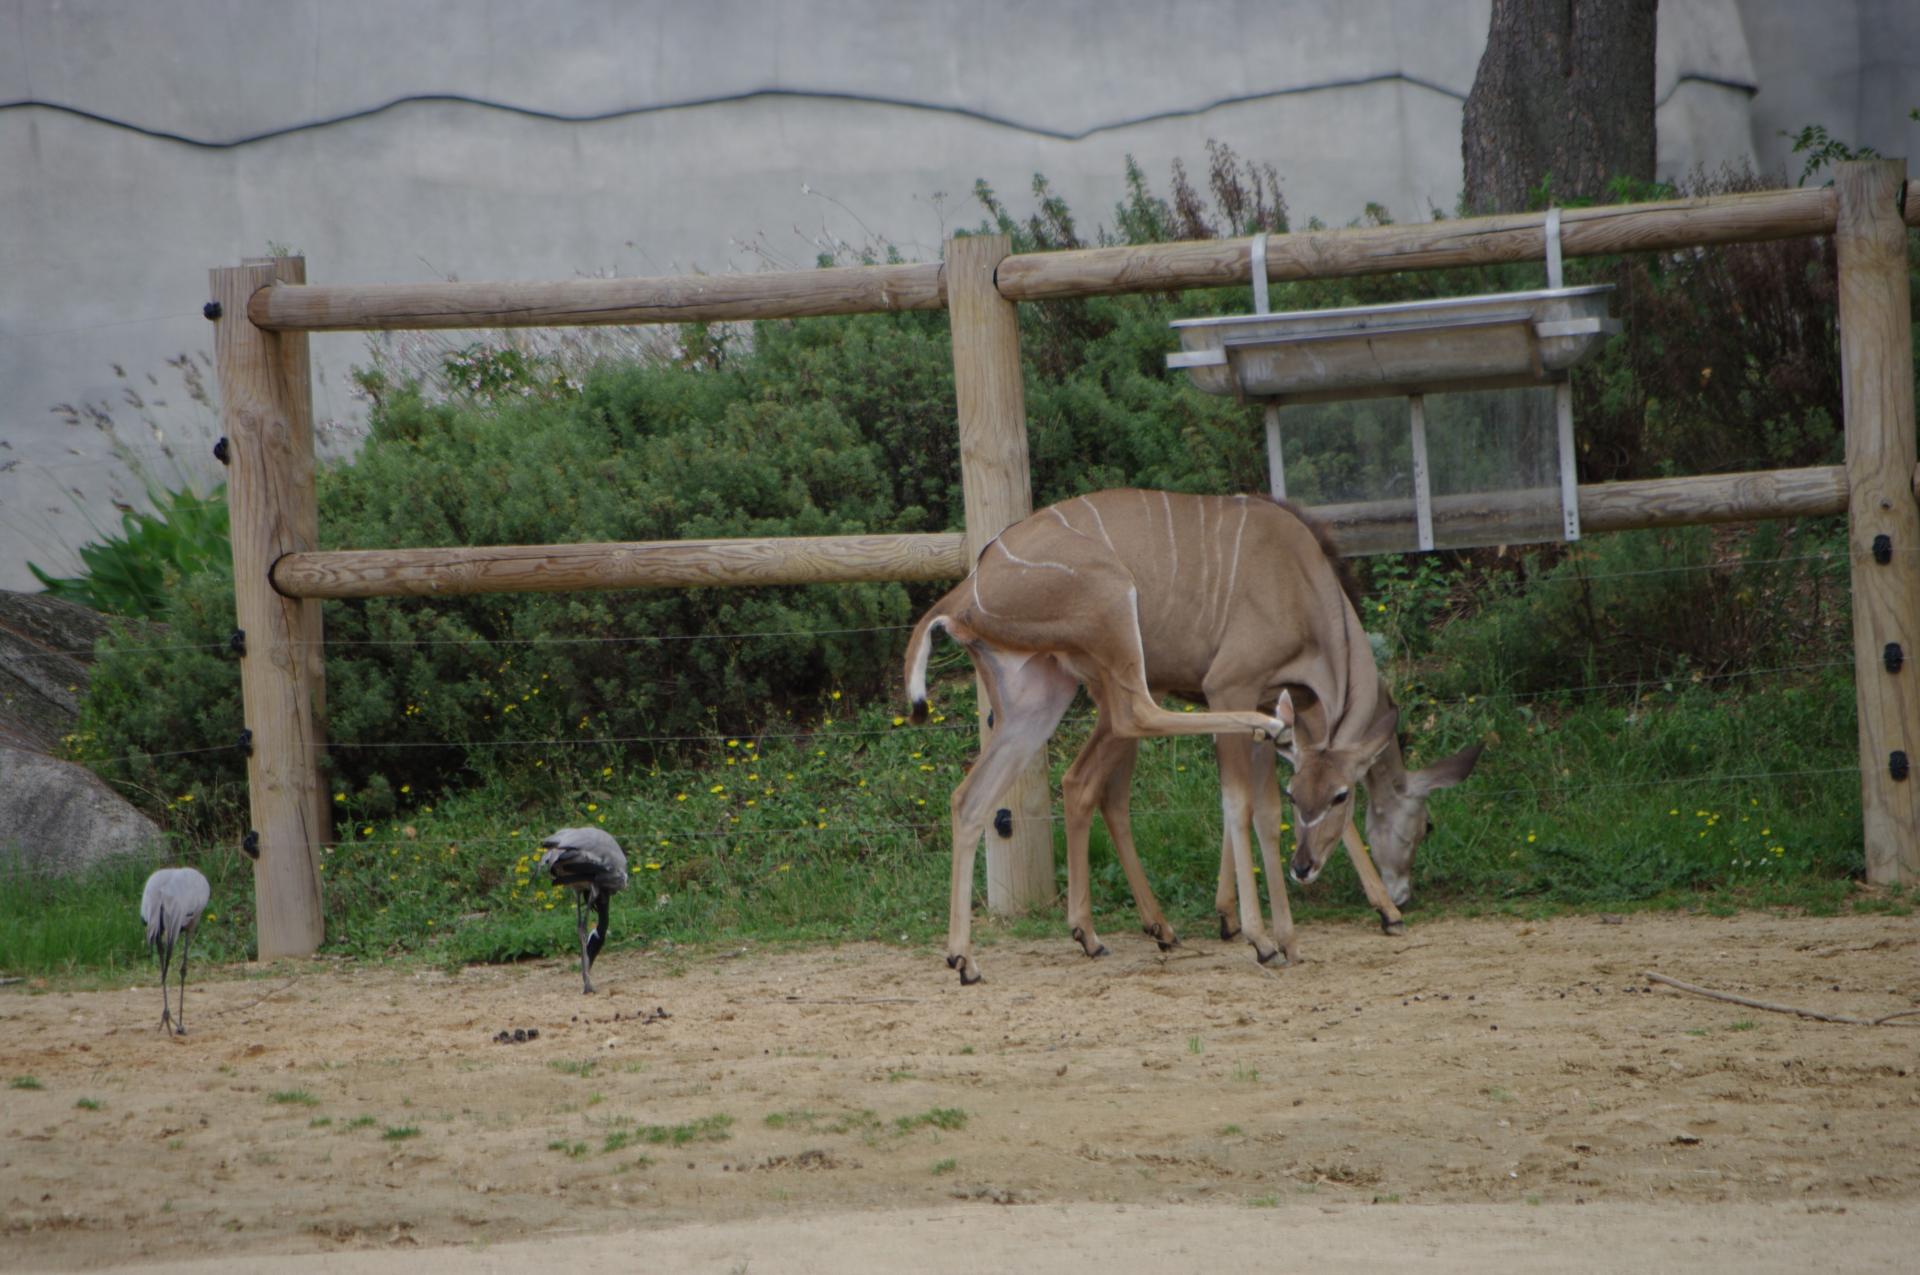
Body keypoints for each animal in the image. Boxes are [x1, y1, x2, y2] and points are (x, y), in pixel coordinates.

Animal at [906, 489, 1474, 983]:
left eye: (1338, 796)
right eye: (1425, 825)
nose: (1305, 867)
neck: (1304, 583)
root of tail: (964, 590)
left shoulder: (1270, 698)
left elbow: (1264, 814)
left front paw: (1284, 938)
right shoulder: (1232, 687)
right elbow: (1238, 806)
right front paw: (1265, 937)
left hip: (1037, 700)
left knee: (975, 798)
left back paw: (968, 958)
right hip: (1115, 620)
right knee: (1132, 721)